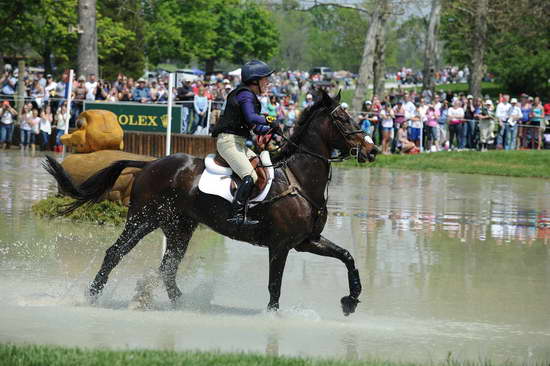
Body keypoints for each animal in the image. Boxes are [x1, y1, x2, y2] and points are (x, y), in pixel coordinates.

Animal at [44, 90, 380, 316]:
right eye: (342, 119)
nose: (373, 151)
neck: (299, 179)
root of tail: (149, 164)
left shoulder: (306, 240)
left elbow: (348, 257)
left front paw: (351, 301)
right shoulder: (281, 245)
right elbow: (275, 285)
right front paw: (273, 317)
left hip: (179, 227)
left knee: (168, 268)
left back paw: (184, 305)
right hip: (143, 219)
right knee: (116, 253)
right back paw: (91, 296)